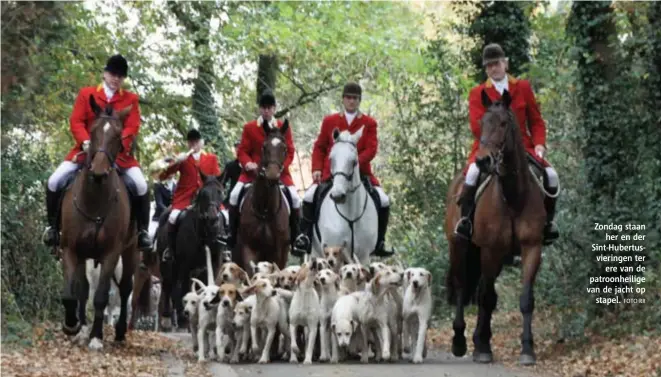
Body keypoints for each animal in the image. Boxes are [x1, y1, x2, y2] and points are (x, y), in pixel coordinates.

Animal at [59, 94, 138, 350]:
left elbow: (102, 296)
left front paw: (96, 337)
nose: (99, 172)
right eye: (93, 131)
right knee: (85, 290)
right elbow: (73, 292)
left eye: (117, 135)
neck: (94, 200)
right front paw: (73, 326)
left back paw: (120, 331)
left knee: (125, 289)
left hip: (131, 251)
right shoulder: (71, 249)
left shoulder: (111, 254)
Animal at [235, 119, 292, 274]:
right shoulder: (248, 249)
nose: (272, 174)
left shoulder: (278, 253)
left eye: (284, 149)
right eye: (264, 147)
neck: (265, 210)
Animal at [310, 126, 376, 264]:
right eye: (331, 159)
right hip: (315, 252)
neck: (351, 214)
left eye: (354, 161)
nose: (337, 196)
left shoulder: (364, 256)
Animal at [444, 89, 548, 364]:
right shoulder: (491, 249)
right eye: (482, 122)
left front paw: (527, 349)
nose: (483, 161)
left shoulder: (531, 247)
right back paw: (460, 341)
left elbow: (525, 299)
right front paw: (482, 349)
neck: (512, 197)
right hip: (459, 246)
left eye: (503, 123)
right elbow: (487, 297)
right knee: (463, 287)